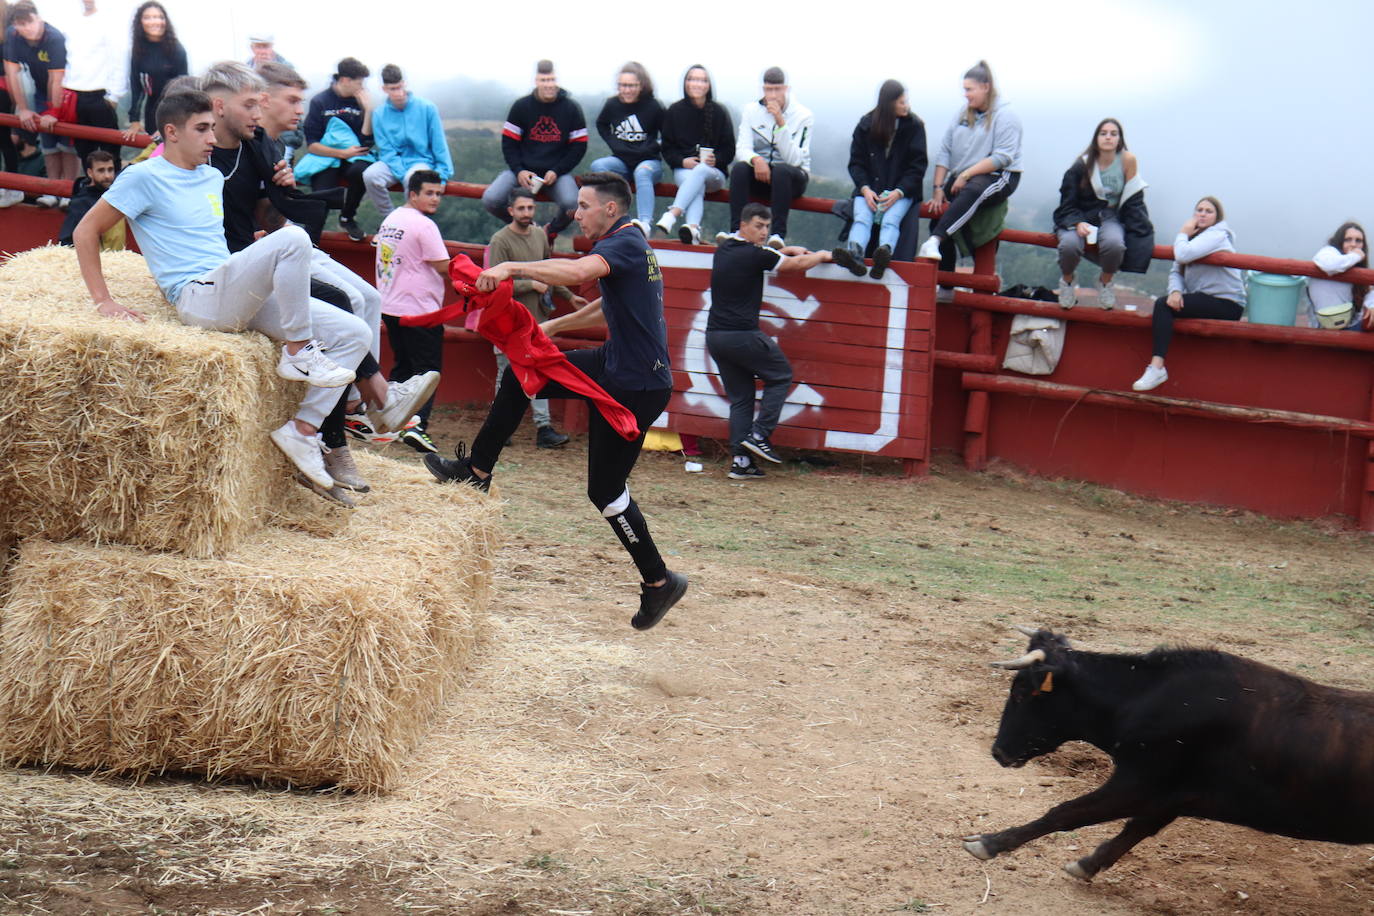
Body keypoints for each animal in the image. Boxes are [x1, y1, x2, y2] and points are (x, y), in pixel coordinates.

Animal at [961, 626, 1374, 878]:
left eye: (1020, 693)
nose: (999, 751)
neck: (1145, 697)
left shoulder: (1137, 784)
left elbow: (1066, 812)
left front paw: (988, 842)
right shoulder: (1172, 795)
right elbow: (1137, 828)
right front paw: (1088, 865)